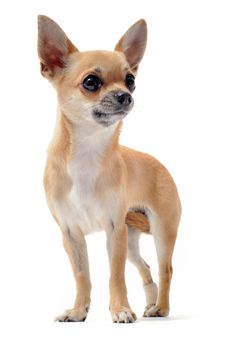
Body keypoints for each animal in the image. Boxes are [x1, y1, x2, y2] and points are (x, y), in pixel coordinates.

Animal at [37, 15, 181, 322]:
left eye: (131, 81)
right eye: (91, 82)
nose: (125, 95)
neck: (87, 153)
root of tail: (162, 166)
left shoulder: (114, 231)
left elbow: (116, 276)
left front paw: (121, 310)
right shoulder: (71, 234)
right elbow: (82, 276)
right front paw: (78, 311)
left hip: (161, 232)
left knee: (165, 269)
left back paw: (160, 307)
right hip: (132, 237)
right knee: (146, 267)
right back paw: (150, 304)